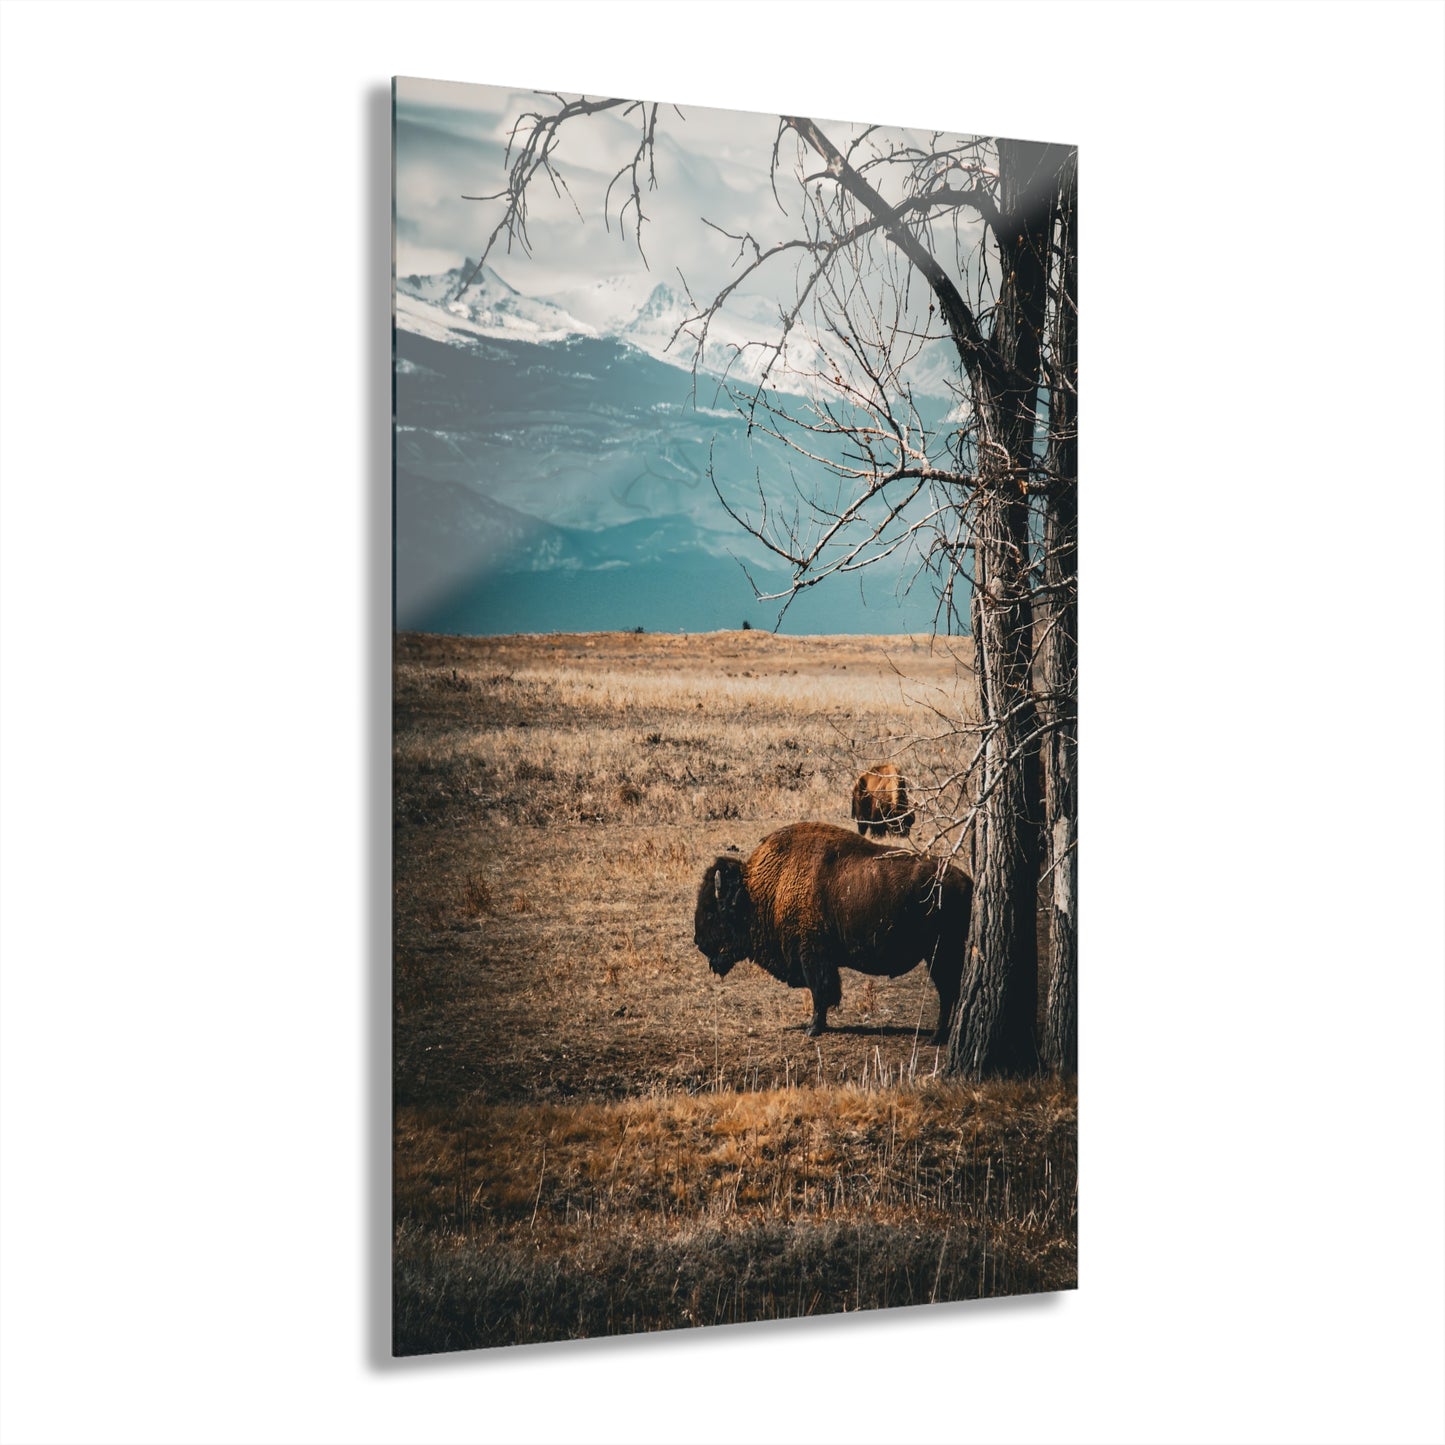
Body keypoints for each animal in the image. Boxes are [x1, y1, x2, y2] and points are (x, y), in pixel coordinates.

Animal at [693, 821, 971, 1043]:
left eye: (712, 911)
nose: (699, 942)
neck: (763, 889)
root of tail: (965, 881)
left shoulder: (813, 956)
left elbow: (821, 992)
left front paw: (813, 1029)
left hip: (938, 954)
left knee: (948, 991)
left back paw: (936, 1037)